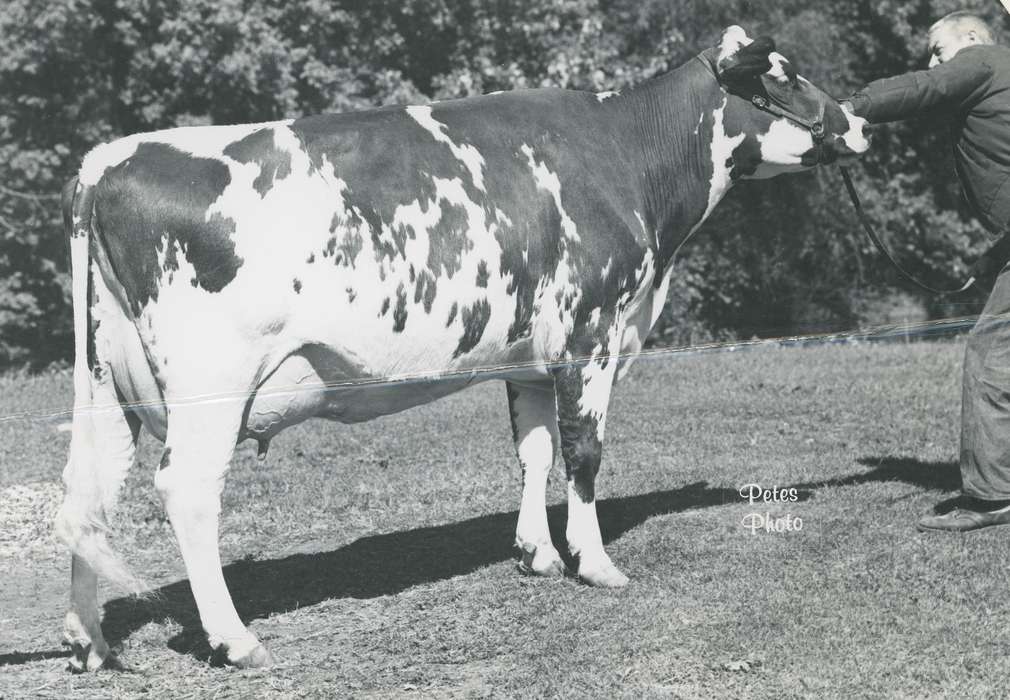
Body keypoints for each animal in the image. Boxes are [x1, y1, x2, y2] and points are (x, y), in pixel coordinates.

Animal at [56, 25, 868, 671]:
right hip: (210, 384)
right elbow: (584, 453)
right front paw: (596, 562)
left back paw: (88, 639)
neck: (627, 154)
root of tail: (108, 160)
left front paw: (538, 553)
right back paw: (236, 639)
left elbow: (535, 449)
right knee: (186, 491)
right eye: (783, 75)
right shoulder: (592, 332)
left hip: (103, 384)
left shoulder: (530, 354)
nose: (858, 123)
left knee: (87, 493)